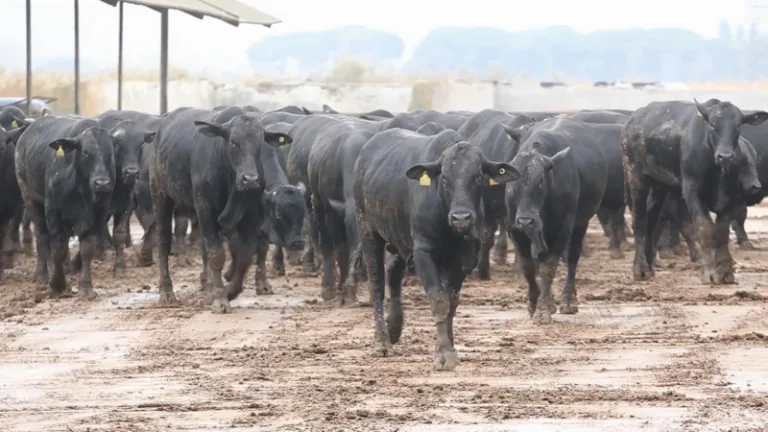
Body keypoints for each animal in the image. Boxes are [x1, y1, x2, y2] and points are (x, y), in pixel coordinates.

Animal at [15, 115, 119, 296]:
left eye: (110, 153)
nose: (102, 183)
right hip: (31, 200)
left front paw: (85, 287)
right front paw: (58, 284)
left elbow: (87, 249)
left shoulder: (97, 215)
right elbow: (58, 249)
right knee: (42, 238)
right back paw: (43, 276)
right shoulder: (53, 214)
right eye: (85, 152)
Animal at [148, 106, 292, 312]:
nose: (250, 179)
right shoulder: (206, 209)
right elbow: (217, 254)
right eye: (233, 142)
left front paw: (230, 291)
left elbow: (245, 255)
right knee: (164, 243)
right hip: (160, 196)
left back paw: (207, 285)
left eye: (260, 145)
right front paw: (220, 299)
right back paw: (167, 292)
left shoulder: (251, 215)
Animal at [356, 127, 520, 368]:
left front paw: (450, 348)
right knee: (376, 285)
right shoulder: (423, 251)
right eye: (444, 177)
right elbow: (439, 301)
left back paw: (394, 327)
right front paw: (443, 354)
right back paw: (382, 342)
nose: (461, 217)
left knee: (393, 273)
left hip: (399, 240)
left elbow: (451, 302)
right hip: (368, 232)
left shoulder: (466, 257)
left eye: (478, 176)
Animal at [508, 117, 608, 324]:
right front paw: (534, 303)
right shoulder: (515, 230)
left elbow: (548, 267)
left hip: (580, 224)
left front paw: (543, 310)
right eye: (513, 182)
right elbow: (528, 267)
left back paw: (568, 300)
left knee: (572, 257)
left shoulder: (562, 229)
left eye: (540, 181)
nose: (526, 220)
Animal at [620, 99, 764, 286]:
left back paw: (650, 265)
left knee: (652, 220)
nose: (725, 156)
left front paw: (725, 272)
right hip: (634, 176)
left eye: (738, 126)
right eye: (712, 125)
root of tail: (632, 121)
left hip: (661, 185)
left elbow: (722, 232)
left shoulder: (731, 197)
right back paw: (640, 269)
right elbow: (704, 228)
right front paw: (710, 273)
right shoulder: (691, 191)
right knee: (639, 220)